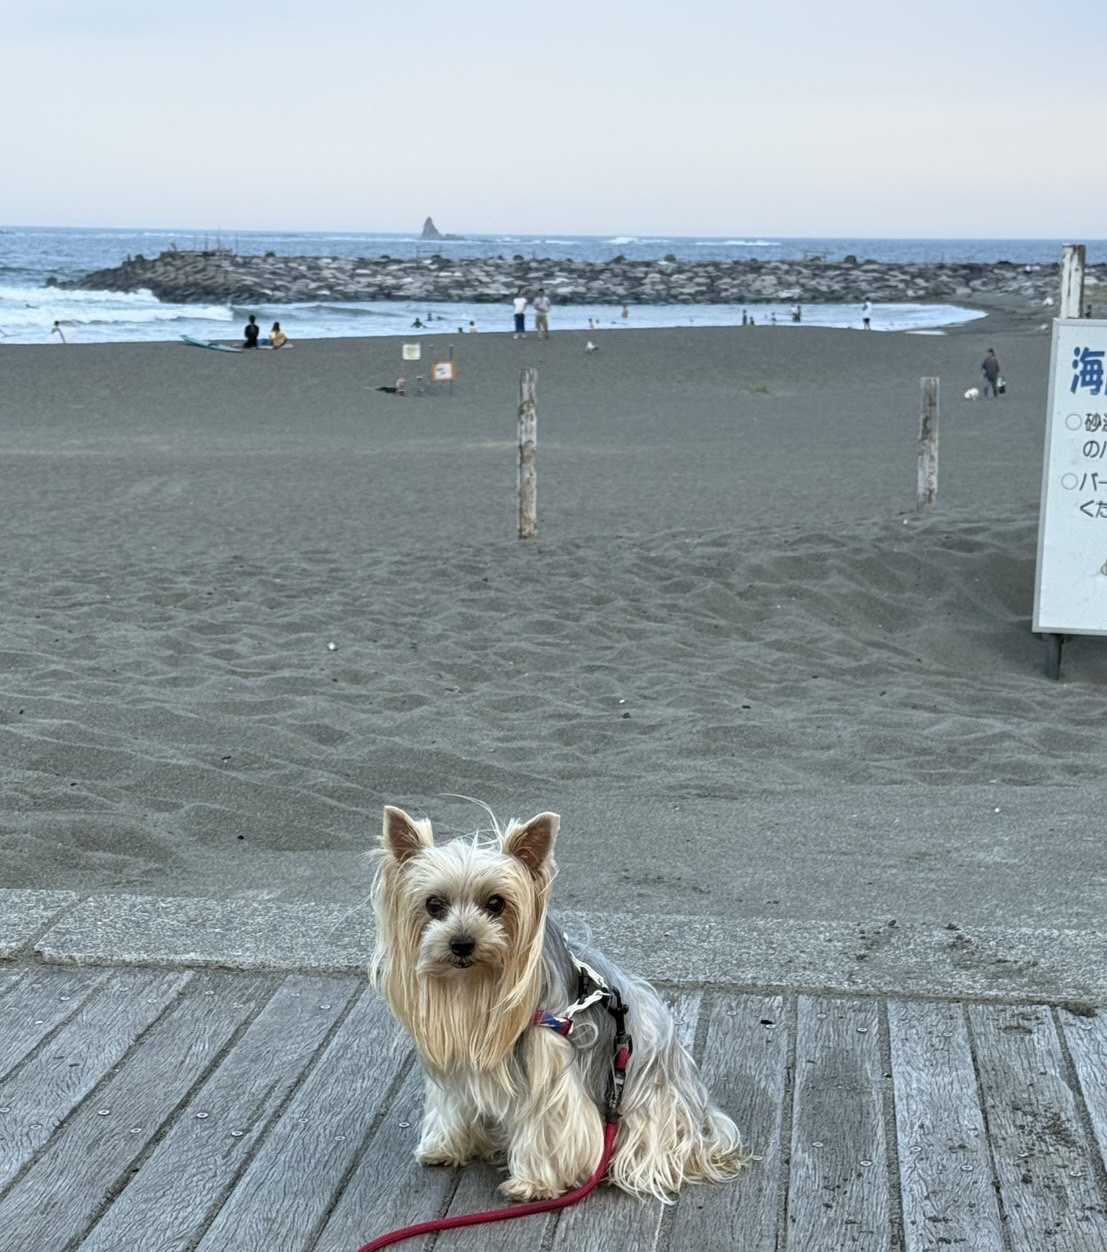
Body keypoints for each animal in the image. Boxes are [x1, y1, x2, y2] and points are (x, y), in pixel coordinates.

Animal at [370, 806, 746, 1202]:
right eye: (433, 904)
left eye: (496, 903)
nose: (461, 943)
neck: (476, 987)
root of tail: (701, 1114)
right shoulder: (460, 1057)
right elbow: (454, 1103)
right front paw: (444, 1147)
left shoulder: (550, 1064)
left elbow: (549, 1123)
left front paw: (533, 1183)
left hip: (653, 1107)